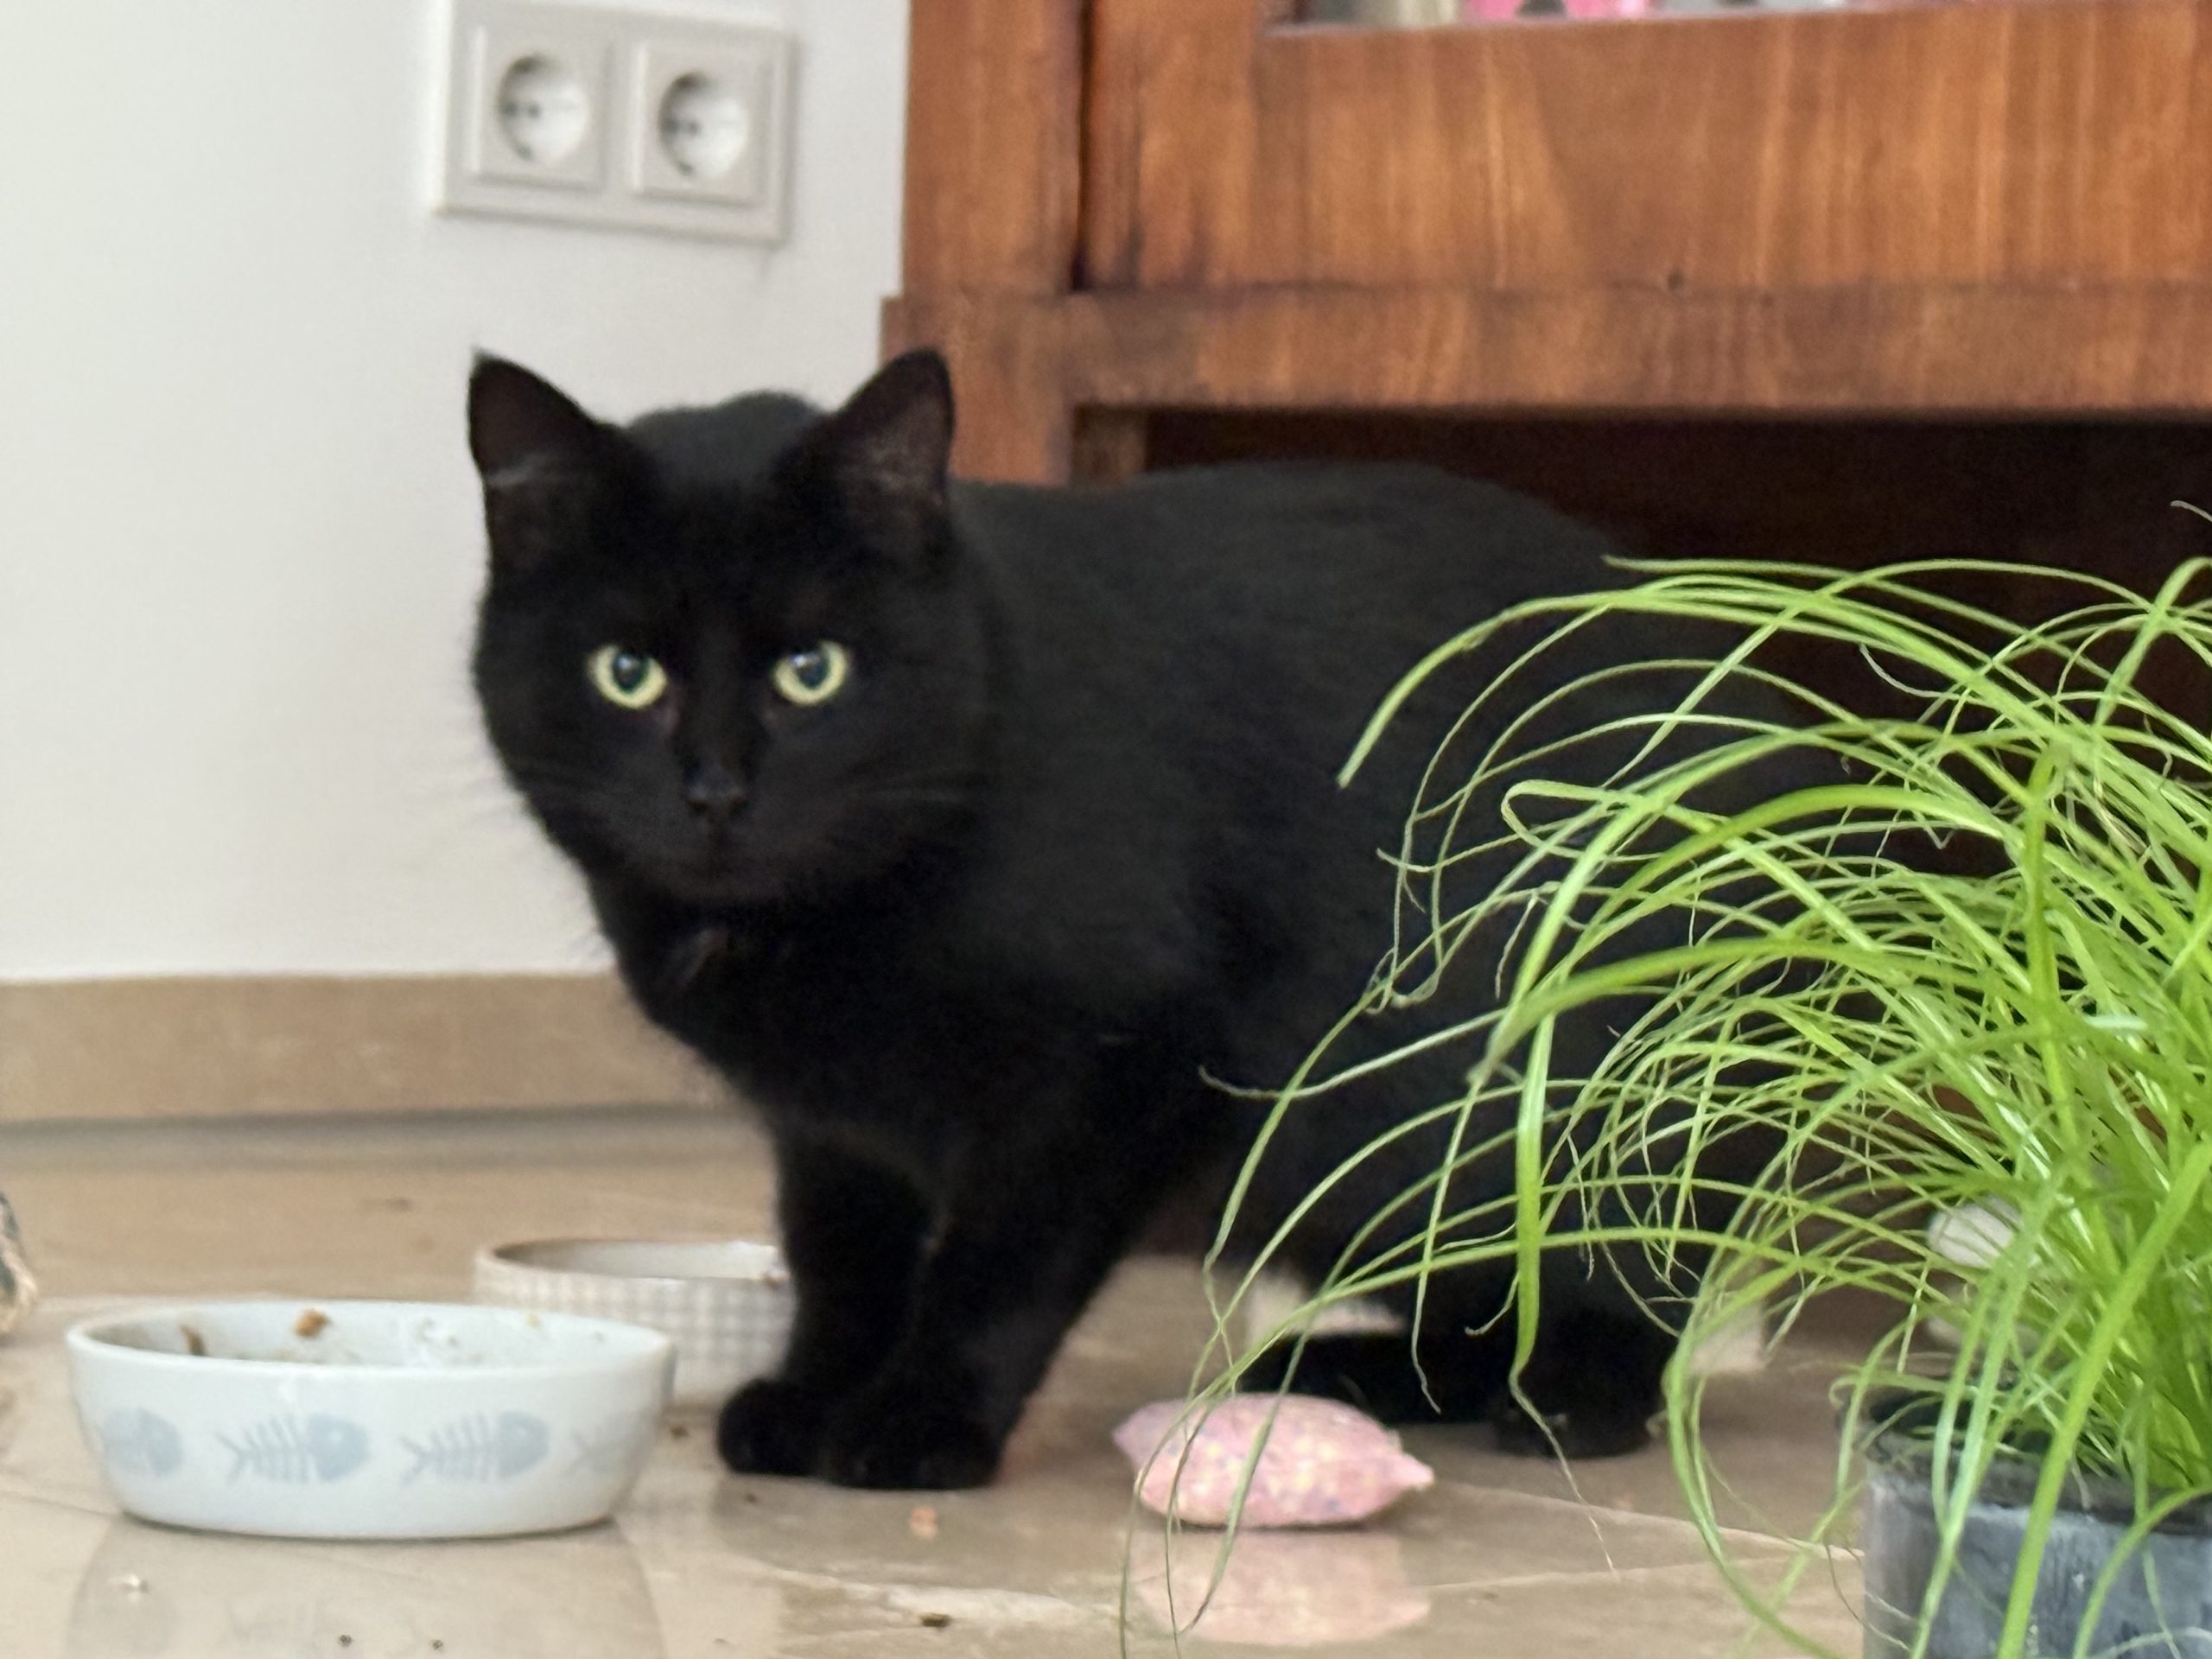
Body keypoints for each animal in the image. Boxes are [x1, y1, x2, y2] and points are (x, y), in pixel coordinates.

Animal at [466, 348, 1800, 1490]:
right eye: (625, 673)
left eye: (813, 670)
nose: (714, 793)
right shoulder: (832, 1127)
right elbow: (842, 1262)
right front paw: (811, 1399)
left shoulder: (1121, 1067)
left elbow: (994, 1270)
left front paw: (918, 1421)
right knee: (1475, 1300)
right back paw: (1347, 1372)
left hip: (1562, 1104)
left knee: (1625, 1278)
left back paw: (1568, 1395)